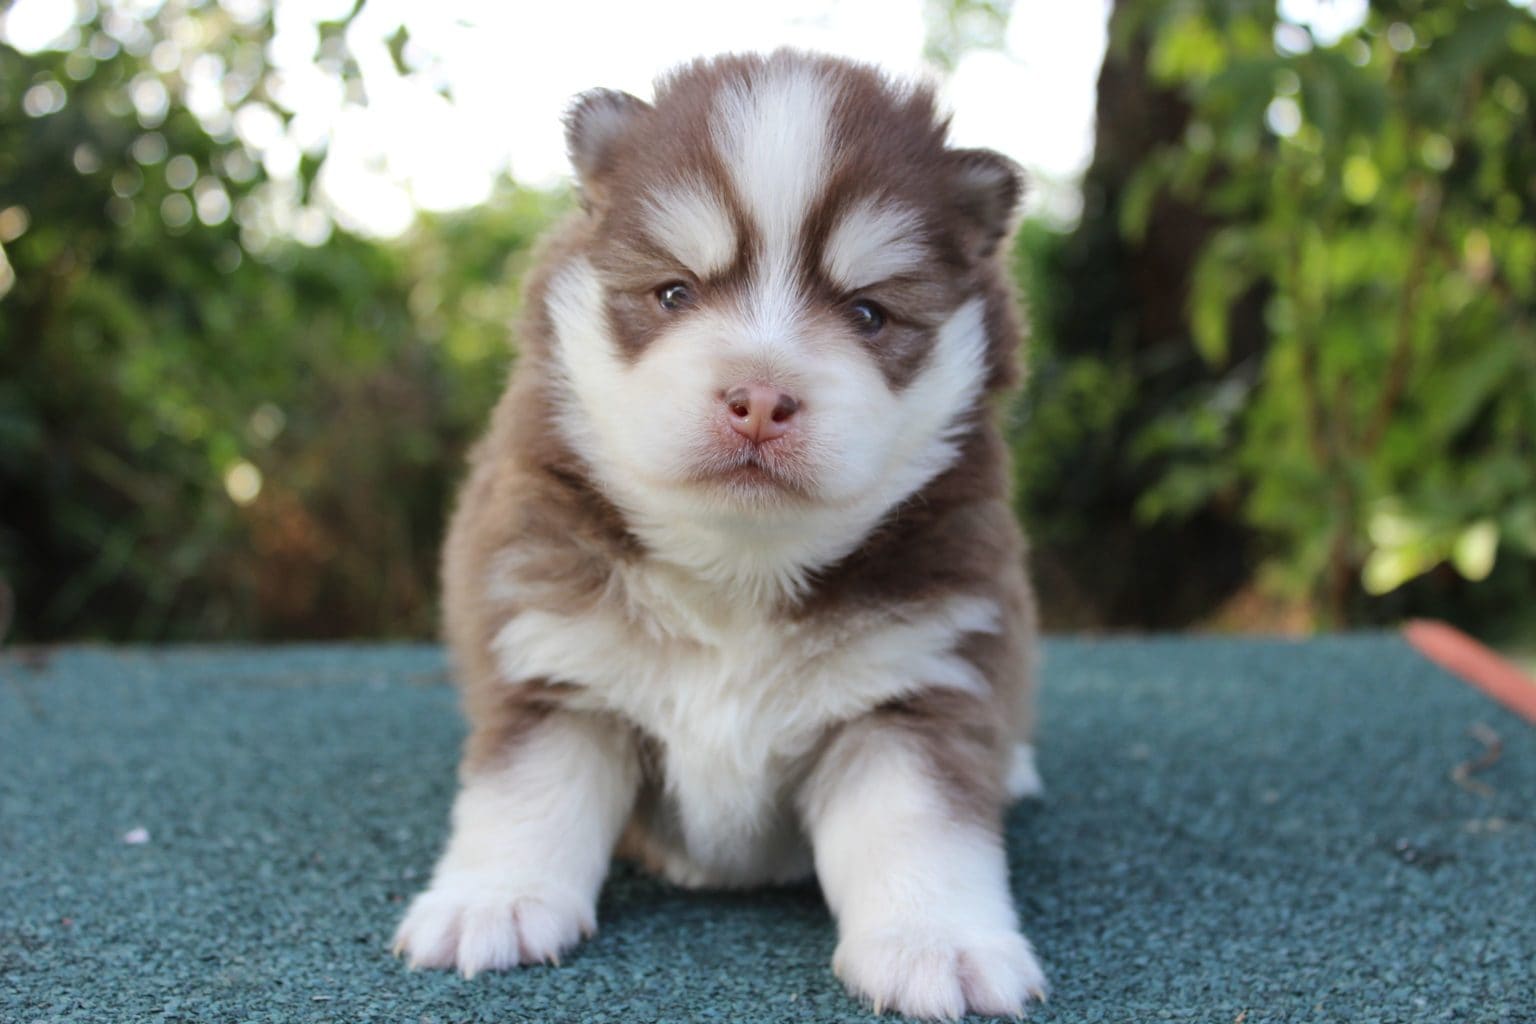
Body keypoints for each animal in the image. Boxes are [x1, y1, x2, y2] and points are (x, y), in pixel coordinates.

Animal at [390, 52, 1050, 1019]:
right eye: (674, 292)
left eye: (868, 314)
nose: (760, 398)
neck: (739, 569)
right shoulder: (555, 658)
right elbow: (526, 793)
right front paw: (495, 900)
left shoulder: (916, 681)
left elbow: (919, 824)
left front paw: (938, 942)